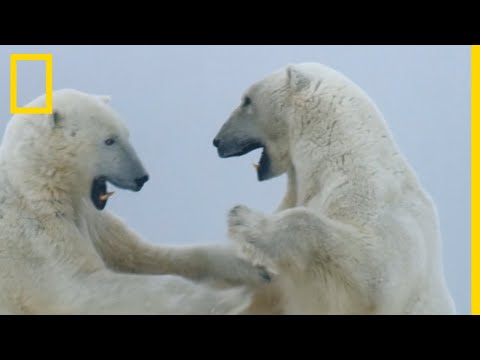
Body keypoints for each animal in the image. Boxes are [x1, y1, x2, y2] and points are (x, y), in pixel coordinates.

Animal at [0, 90, 255, 316]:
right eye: (109, 140)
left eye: (126, 134)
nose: (141, 177)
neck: (34, 182)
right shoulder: (35, 238)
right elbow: (80, 285)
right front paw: (230, 298)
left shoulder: (95, 221)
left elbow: (142, 255)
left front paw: (248, 264)